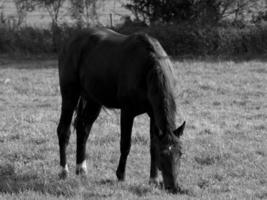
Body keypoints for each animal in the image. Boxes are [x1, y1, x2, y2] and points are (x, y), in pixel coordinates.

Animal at [57, 27, 185, 193]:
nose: (173, 187)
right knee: (63, 131)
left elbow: (152, 145)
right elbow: (125, 144)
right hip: (70, 95)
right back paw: (63, 171)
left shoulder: (153, 114)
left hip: (93, 100)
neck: (147, 67)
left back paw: (81, 168)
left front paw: (153, 179)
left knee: (83, 129)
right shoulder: (127, 112)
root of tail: (70, 41)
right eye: (163, 154)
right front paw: (121, 175)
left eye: (180, 153)